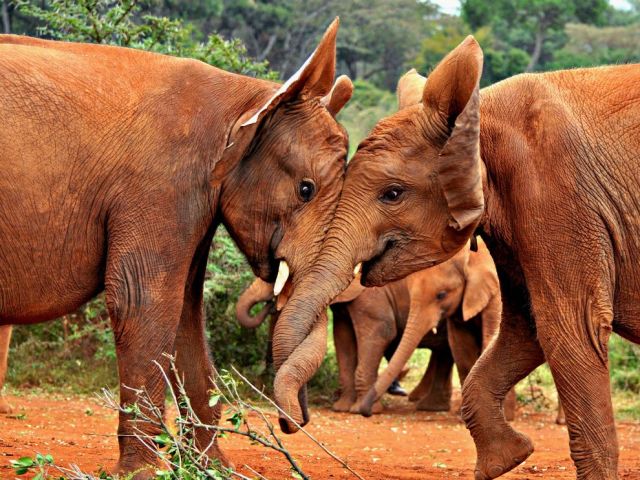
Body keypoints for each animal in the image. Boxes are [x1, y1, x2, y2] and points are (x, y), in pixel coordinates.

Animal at [0, 19, 352, 477]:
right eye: (305, 189)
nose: (294, 422)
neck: (246, 99)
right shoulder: (159, 187)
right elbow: (142, 302)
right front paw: (141, 473)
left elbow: (187, 311)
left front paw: (215, 468)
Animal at [274, 35, 639, 479]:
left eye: (392, 194)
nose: (296, 422)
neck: (480, 115)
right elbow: (524, 331)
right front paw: (507, 459)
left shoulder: (558, 197)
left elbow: (569, 328)